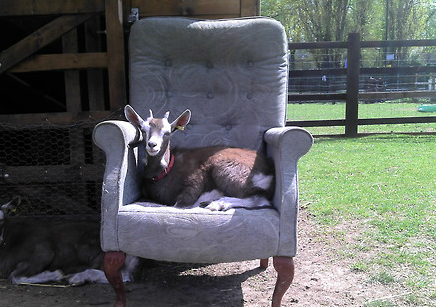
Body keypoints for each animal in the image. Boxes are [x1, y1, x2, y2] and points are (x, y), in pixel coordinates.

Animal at [0, 197, 138, 286]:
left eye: (1, 219)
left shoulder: (41, 252)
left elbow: (14, 277)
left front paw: (56, 274)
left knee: (121, 275)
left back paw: (77, 278)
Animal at [122, 106, 274, 212]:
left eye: (168, 132)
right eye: (143, 130)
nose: (152, 145)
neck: (166, 171)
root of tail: (268, 168)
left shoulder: (195, 180)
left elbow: (178, 205)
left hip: (225, 169)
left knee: (259, 198)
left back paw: (216, 204)